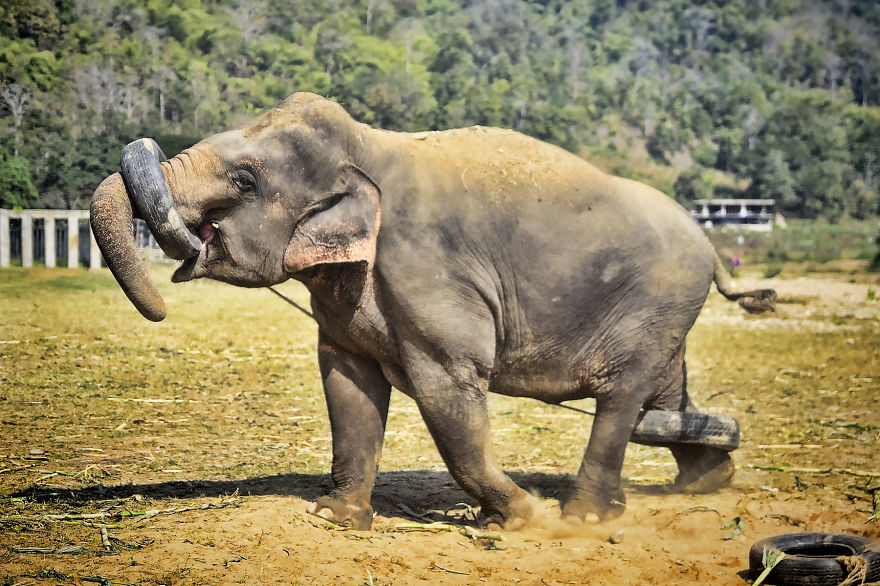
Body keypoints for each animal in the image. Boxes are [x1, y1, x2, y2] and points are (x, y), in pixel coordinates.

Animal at [90, 92, 775, 531]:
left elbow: (449, 396)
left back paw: (584, 517)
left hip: (655, 304)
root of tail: (710, 245)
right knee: (661, 396)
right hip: (663, 318)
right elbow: (349, 389)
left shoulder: (431, 279)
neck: (371, 144)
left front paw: (521, 518)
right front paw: (334, 518)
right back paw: (707, 480)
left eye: (244, 180)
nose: (161, 303)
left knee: (621, 399)